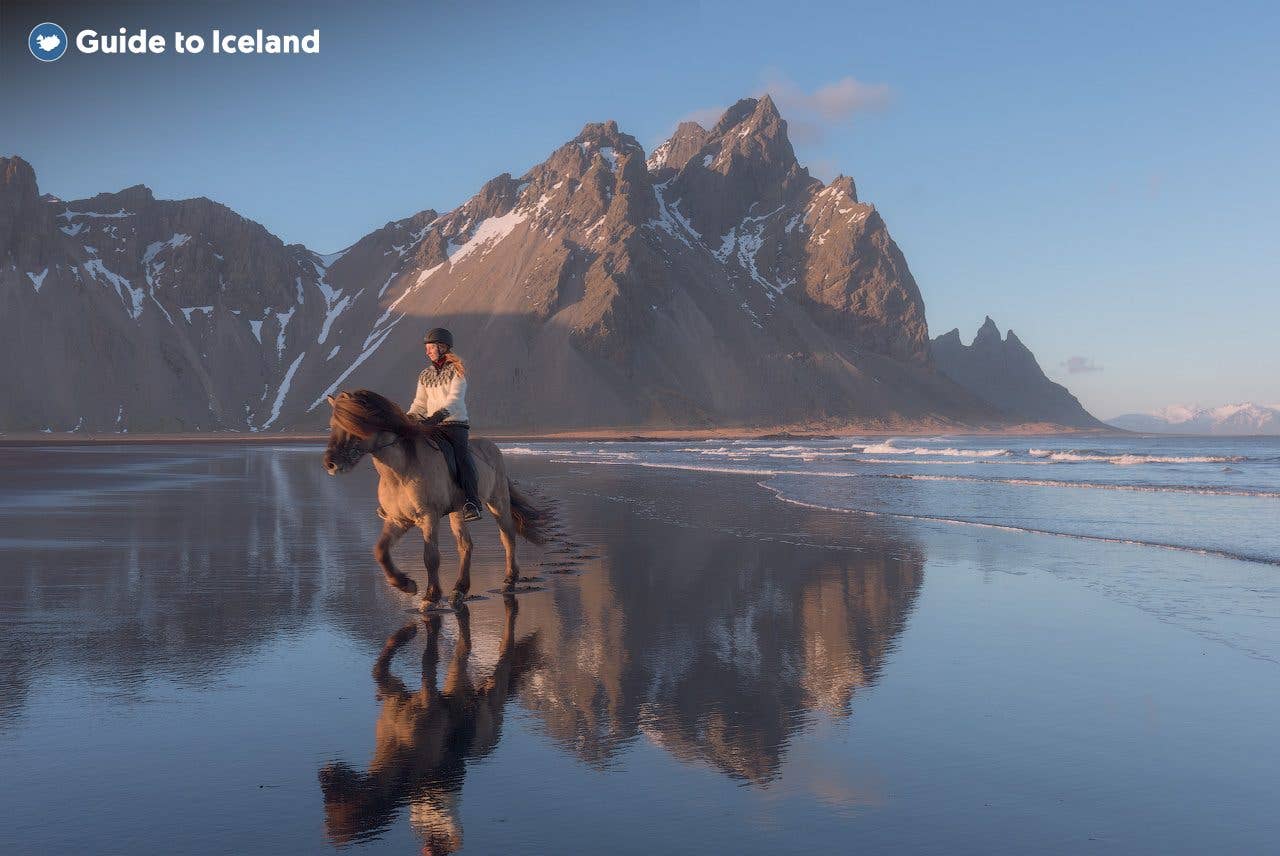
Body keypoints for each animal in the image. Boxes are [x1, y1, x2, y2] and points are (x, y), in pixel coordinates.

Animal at [323, 389, 550, 607]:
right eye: (332, 425)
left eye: (353, 423)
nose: (330, 464)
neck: (399, 473)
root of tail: (492, 447)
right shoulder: (398, 520)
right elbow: (380, 550)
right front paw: (406, 585)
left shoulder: (428, 517)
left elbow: (430, 557)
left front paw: (430, 597)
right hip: (458, 511)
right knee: (465, 545)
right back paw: (459, 590)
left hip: (498, 502)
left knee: (508, 537)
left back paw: (509, 580)